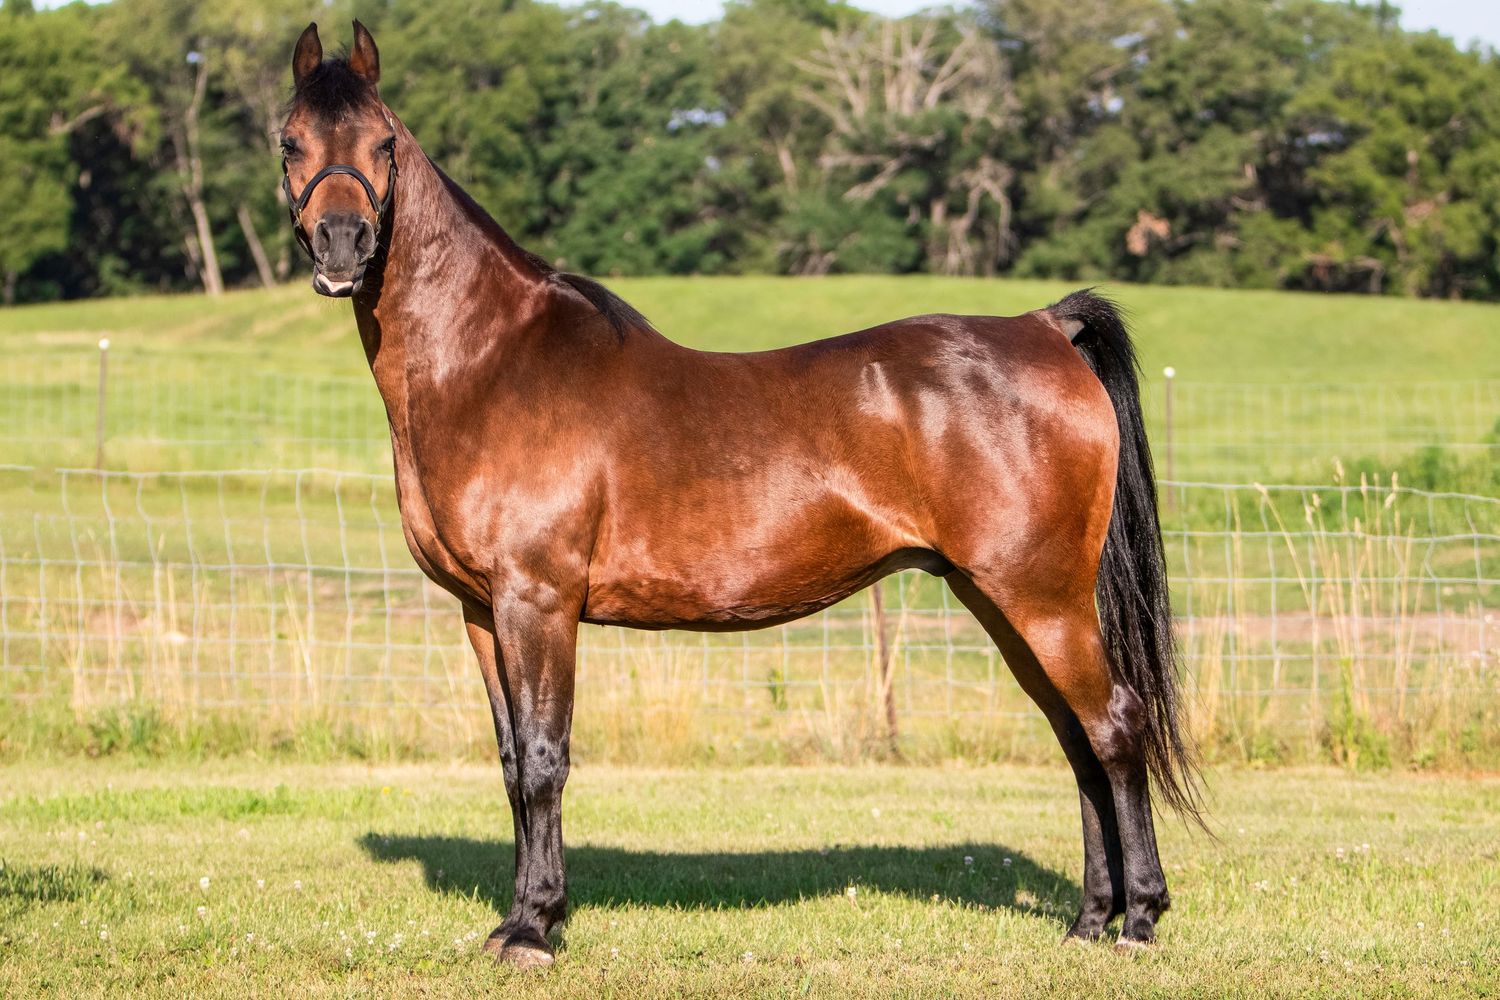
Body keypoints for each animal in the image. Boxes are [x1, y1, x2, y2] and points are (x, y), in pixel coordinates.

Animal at [279, 21, 1200, 969]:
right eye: (290, 142)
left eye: (384, 144)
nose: (344, 246)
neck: (493, 363)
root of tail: (1043, 327)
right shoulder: (479, 609)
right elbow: (508, 763)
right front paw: (517, 920)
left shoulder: (536, 600)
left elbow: (542, 758)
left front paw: (534, 925)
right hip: (1001, 600)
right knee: (1077, 741)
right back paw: (1089, 919)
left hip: (1043, 598)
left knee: (1115, 725)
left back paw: (1137, 920)